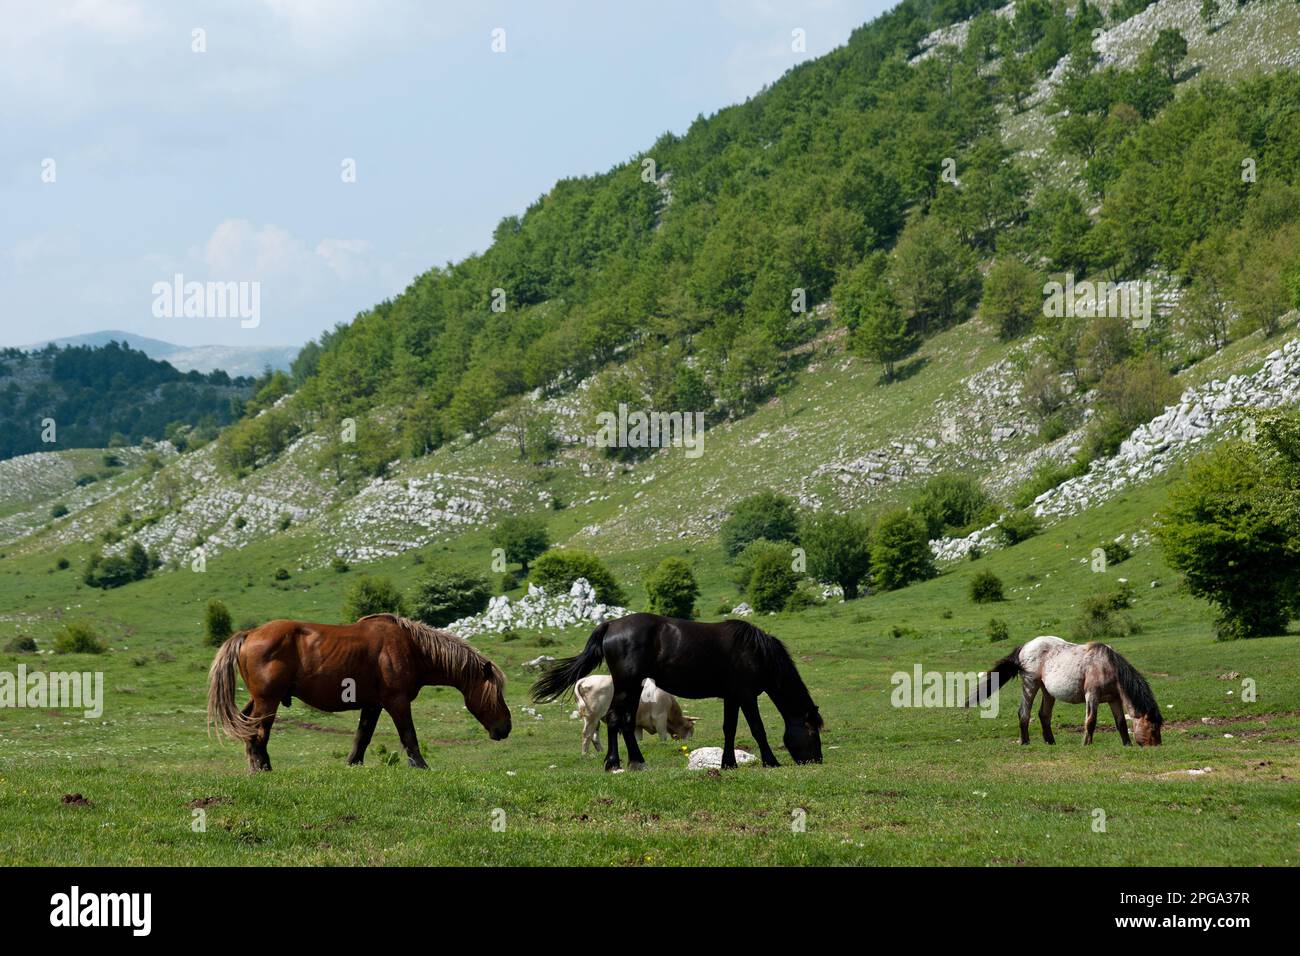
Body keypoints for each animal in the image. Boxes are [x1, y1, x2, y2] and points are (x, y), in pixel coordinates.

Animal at [207, 613, 511, 771]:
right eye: (496, 694)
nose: (506, 727)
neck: (412, 647)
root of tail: (249, 634)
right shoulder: (397, 701)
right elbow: (409, 736)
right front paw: (420, 766)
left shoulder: (373, 705)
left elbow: (362, 737)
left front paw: (353, 764)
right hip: (267, 701)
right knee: (258, 732)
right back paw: (264, 767)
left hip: (258, 700)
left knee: (247, 727)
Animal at [532, 613, 823, 771]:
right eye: (811, 731)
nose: (816, 760)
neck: (757, 653)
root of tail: (611, 625)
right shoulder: (747, 695)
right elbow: (757, 729)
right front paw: (771, 761)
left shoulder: (731, 696)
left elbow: (729, 729)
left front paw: (728, 763)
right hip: (626, 685)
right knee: (615, 719)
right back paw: (616, 762)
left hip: (633, 687)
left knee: (625, 722)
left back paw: (634, 762)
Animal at [968, 635, 1162, 746]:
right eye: (1153, 727)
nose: (1157, 746)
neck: (1107, 666)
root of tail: (1025, 646)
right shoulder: (1092, 696)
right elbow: (1090, 721)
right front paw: (1086, 744)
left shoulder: (1114, 699)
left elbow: (1121, 722)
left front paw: (1127, 744)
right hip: (1031, 684)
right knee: (1024, 712)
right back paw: (1025, 742)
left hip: (1047, 691)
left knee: (1044, 715)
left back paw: (1050, 742)